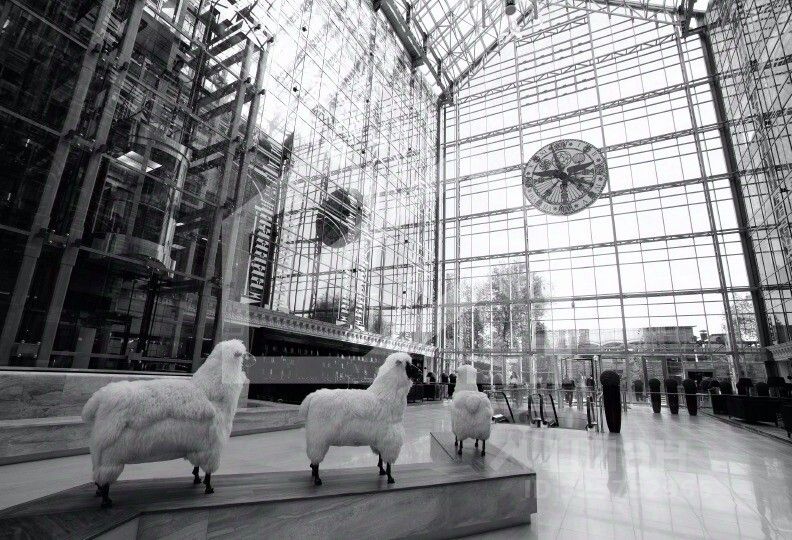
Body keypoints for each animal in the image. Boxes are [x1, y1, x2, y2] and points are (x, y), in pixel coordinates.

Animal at [81, 339, 253, 508]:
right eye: (244, 354)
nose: (254, 359)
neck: (210, 391)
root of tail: (99, 398)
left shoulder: (198, 446)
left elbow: (197, 465)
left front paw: (197, 478)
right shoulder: (212, 447)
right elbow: (209, 472)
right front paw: (209, 488)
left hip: (100, 451)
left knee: (97, 472)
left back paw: (98, 491)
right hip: (110, 453)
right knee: (104, 476)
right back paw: (106, 500)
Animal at [299, 352, 417, 486]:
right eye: (408, 365)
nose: (419, 372)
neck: (387, 394)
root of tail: (312, 397)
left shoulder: (379, 438)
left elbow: (380, 457)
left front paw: (382, 471)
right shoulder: (390, 438)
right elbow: (388, 462)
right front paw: (390, 478)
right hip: (318, 438)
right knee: (315, 460)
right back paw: (317, 479)